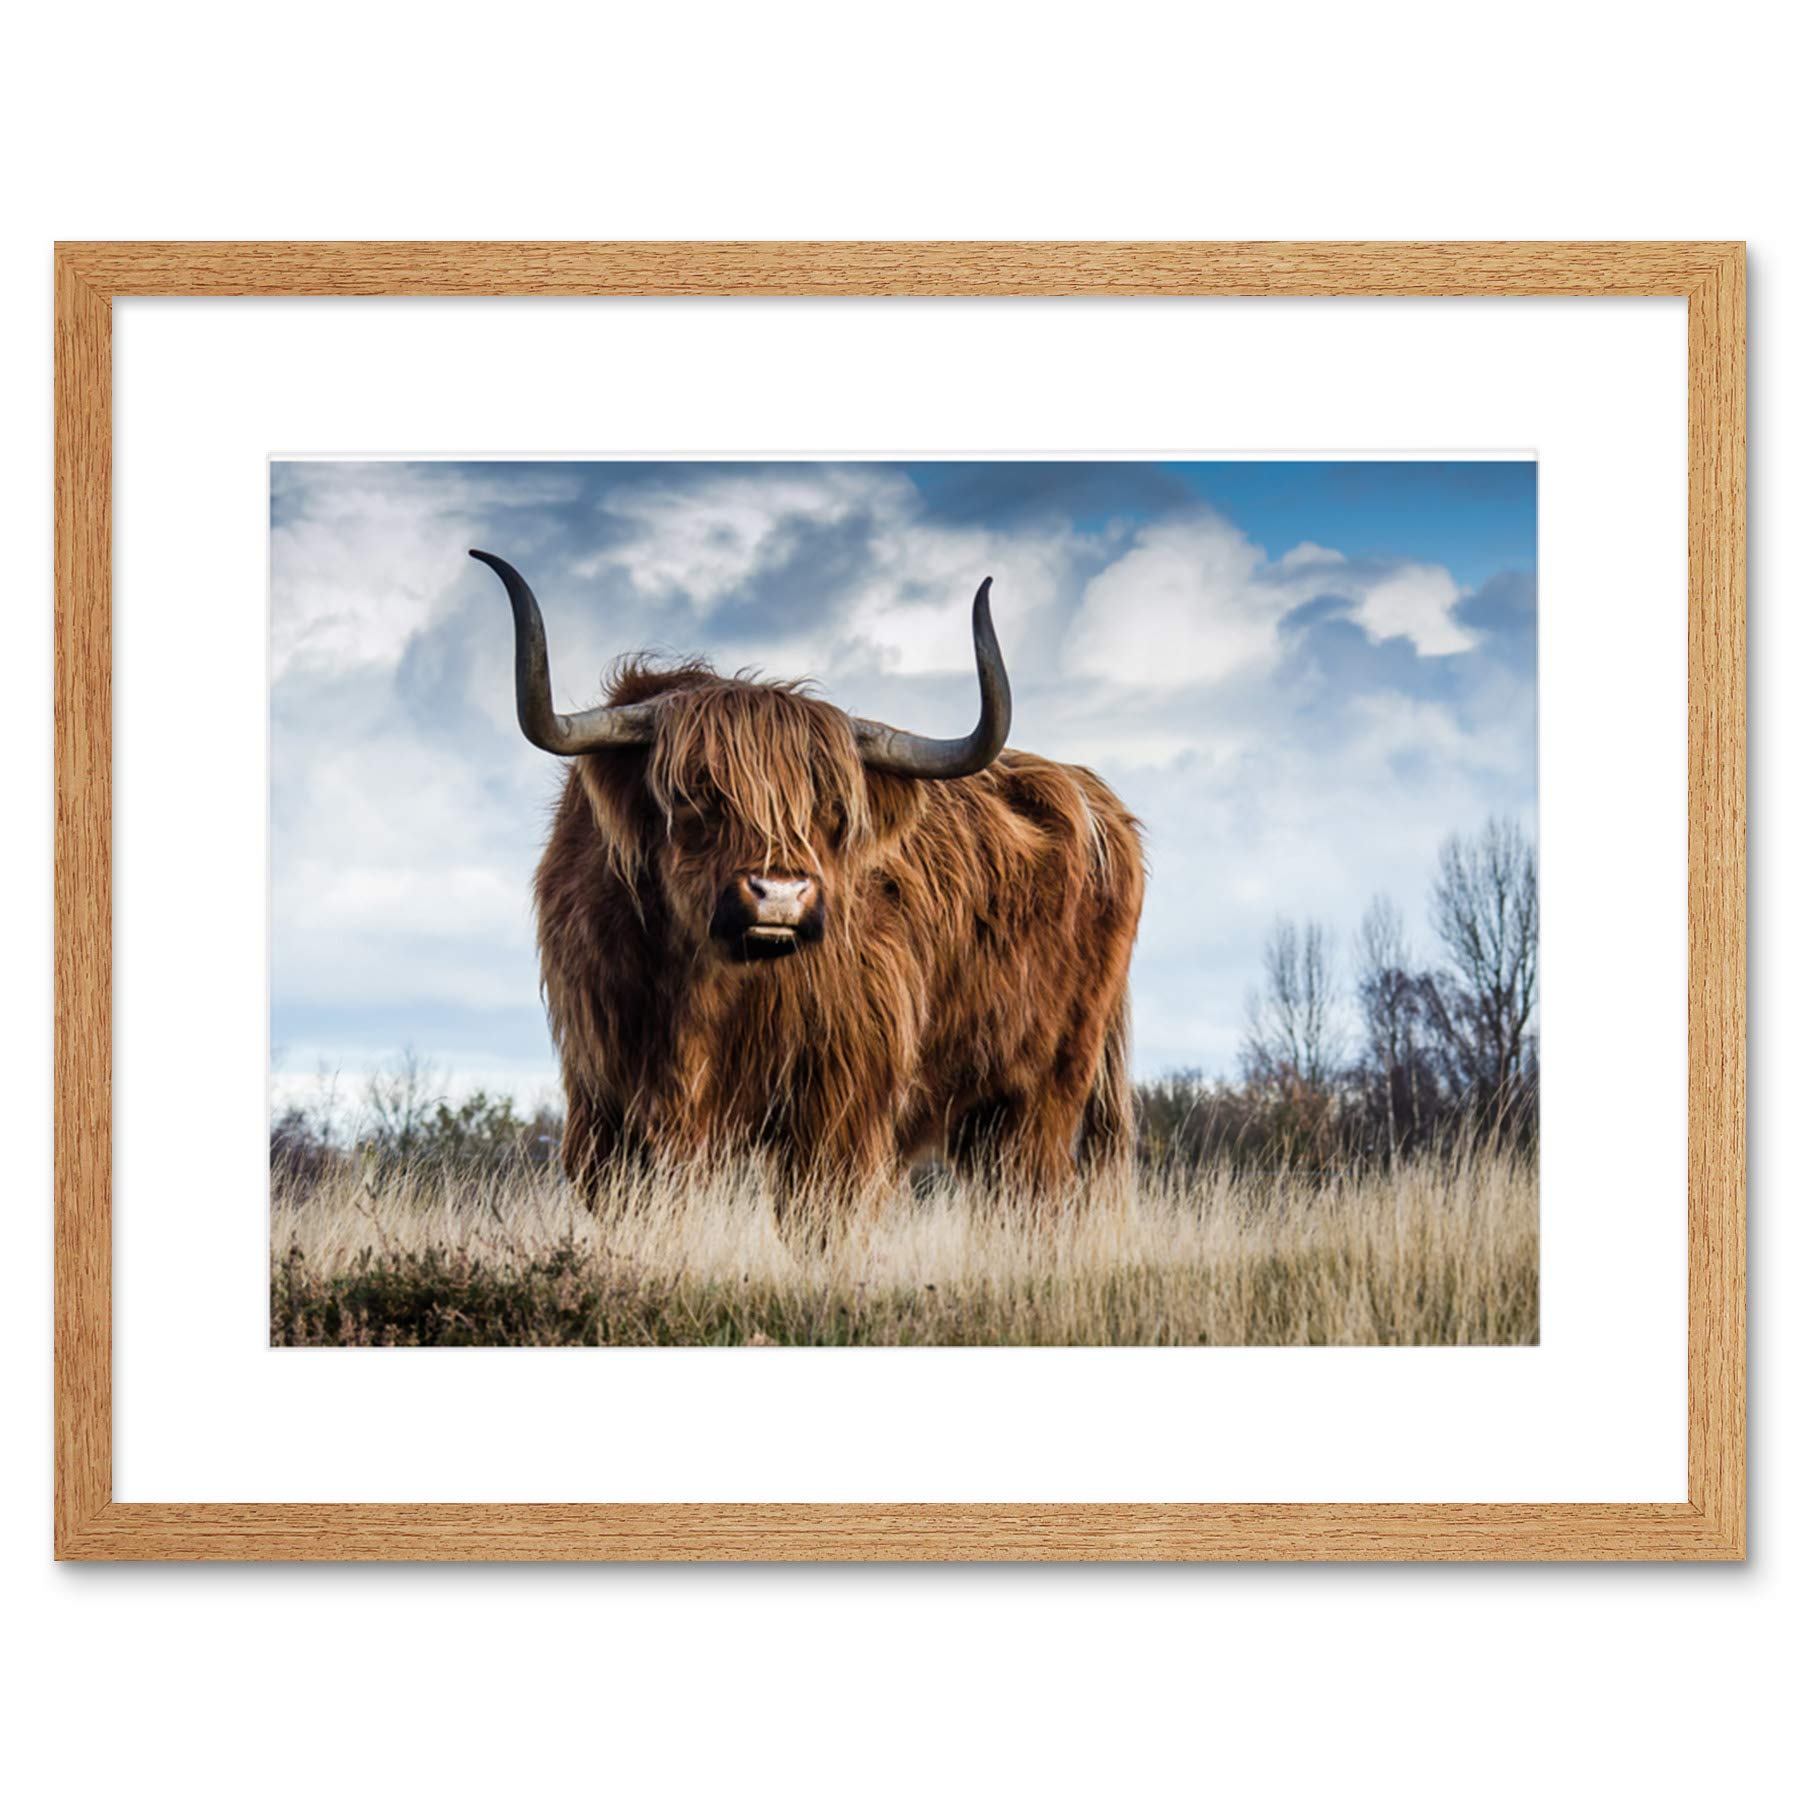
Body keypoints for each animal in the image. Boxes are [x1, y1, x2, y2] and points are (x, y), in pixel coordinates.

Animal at [471, 549, 1145, 1203]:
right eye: (695, 794)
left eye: (833, 809)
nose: (781, 895)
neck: (698, 989)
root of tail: (1095, 797)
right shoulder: (605, 1103)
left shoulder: (840, 1104)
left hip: (1044, 1091)